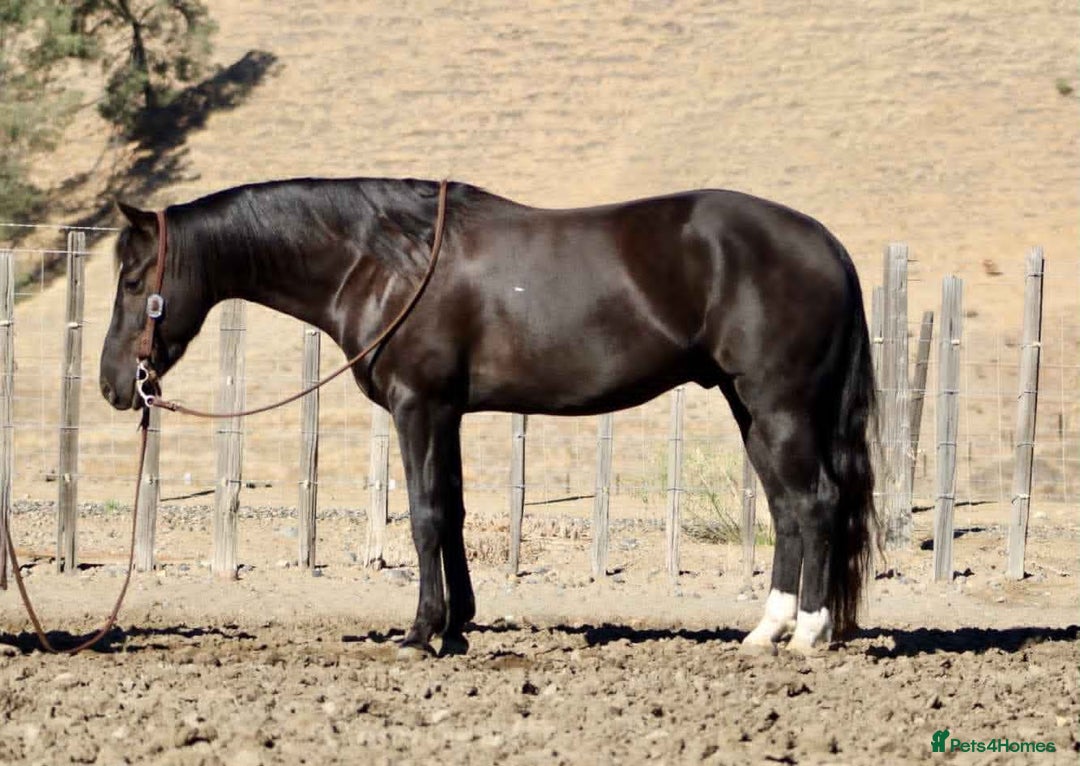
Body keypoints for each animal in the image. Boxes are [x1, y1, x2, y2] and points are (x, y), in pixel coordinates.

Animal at [100, 177, 877, 657]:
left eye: (135, 281)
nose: (113, 385)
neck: (387, 260)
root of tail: (826, 243)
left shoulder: (418, 406)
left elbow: (423, 514)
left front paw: (420, 633)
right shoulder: (445, 412)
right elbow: (453, 509)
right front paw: (458, 627)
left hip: (779, 404)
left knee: (815, 502)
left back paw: (808, 634)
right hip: (750, 407)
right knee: (786, 509)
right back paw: (765, 632)